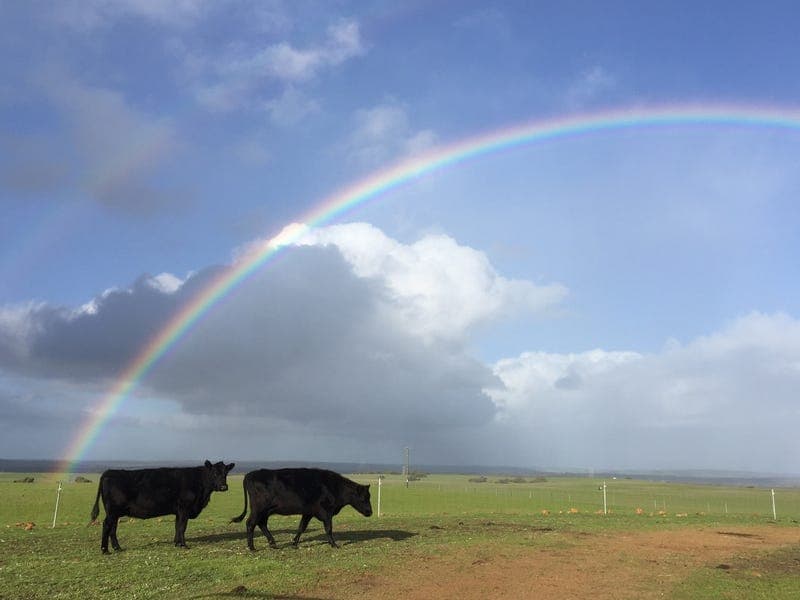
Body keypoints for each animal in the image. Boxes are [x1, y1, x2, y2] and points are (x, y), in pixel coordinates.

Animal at [92, 460, 234, 552]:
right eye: (214, 473)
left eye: (226, 473)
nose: (223, 487)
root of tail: (108, 472)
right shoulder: (184, 508)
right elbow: (182, 527)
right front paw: (184, 545)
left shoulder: (178, 511)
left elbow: (177, 526)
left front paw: (177, 543)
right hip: (112, 511)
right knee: (107, 525)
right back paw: (105, 550)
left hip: (115, 513)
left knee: (113, 528)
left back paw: (117, 548)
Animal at [230, 466, 370, 552]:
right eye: (364, 498)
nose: (370, 512)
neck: (334, 486)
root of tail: (250, 474)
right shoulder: (326, 512)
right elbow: (329, 529)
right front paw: (334, 544)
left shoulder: (308, 512)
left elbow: (301, 527)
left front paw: (294, 543)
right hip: (258, 509)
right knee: (250, 523)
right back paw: (252, 547)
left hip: (265, 511)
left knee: (261, 524)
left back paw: (273, 543)